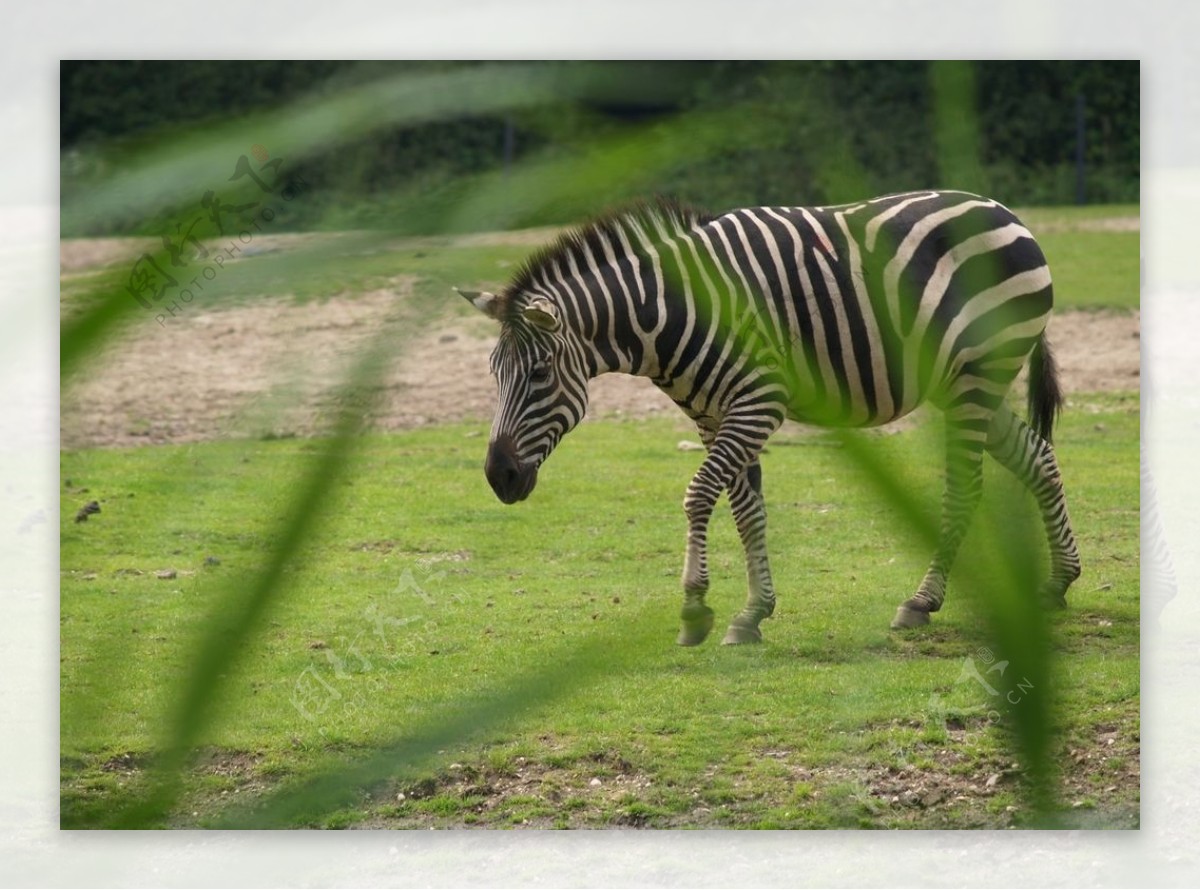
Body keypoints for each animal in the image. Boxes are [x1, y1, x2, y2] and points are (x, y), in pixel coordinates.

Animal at [453, 191, 1084, 642]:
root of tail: (1002, 210)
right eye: (493, 374)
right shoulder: (715, 416)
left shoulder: (759, 403)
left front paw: (695, 608)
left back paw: (922, 601)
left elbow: (698, 495)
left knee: (966, 486)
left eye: (539, 374)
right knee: (1037, 457)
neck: (671, 312)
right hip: (964, 384)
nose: (498, 477)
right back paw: (1058, 582)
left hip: (978, 375)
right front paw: (753, 613)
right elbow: (746, 511)